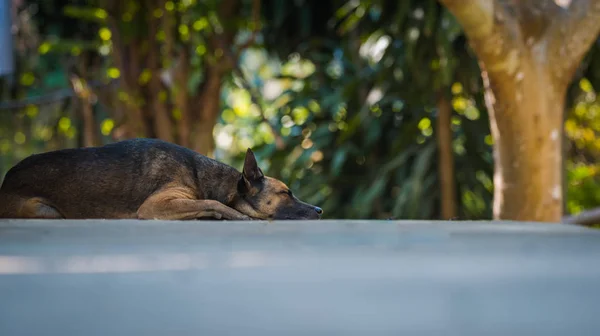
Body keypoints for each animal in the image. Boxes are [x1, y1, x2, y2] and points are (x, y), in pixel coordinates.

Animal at [0, 137, 324, 220]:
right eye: (286, 193)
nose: (320, 210)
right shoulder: (155, 205)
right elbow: (214, 203)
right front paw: (233, 215)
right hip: (45, 211)